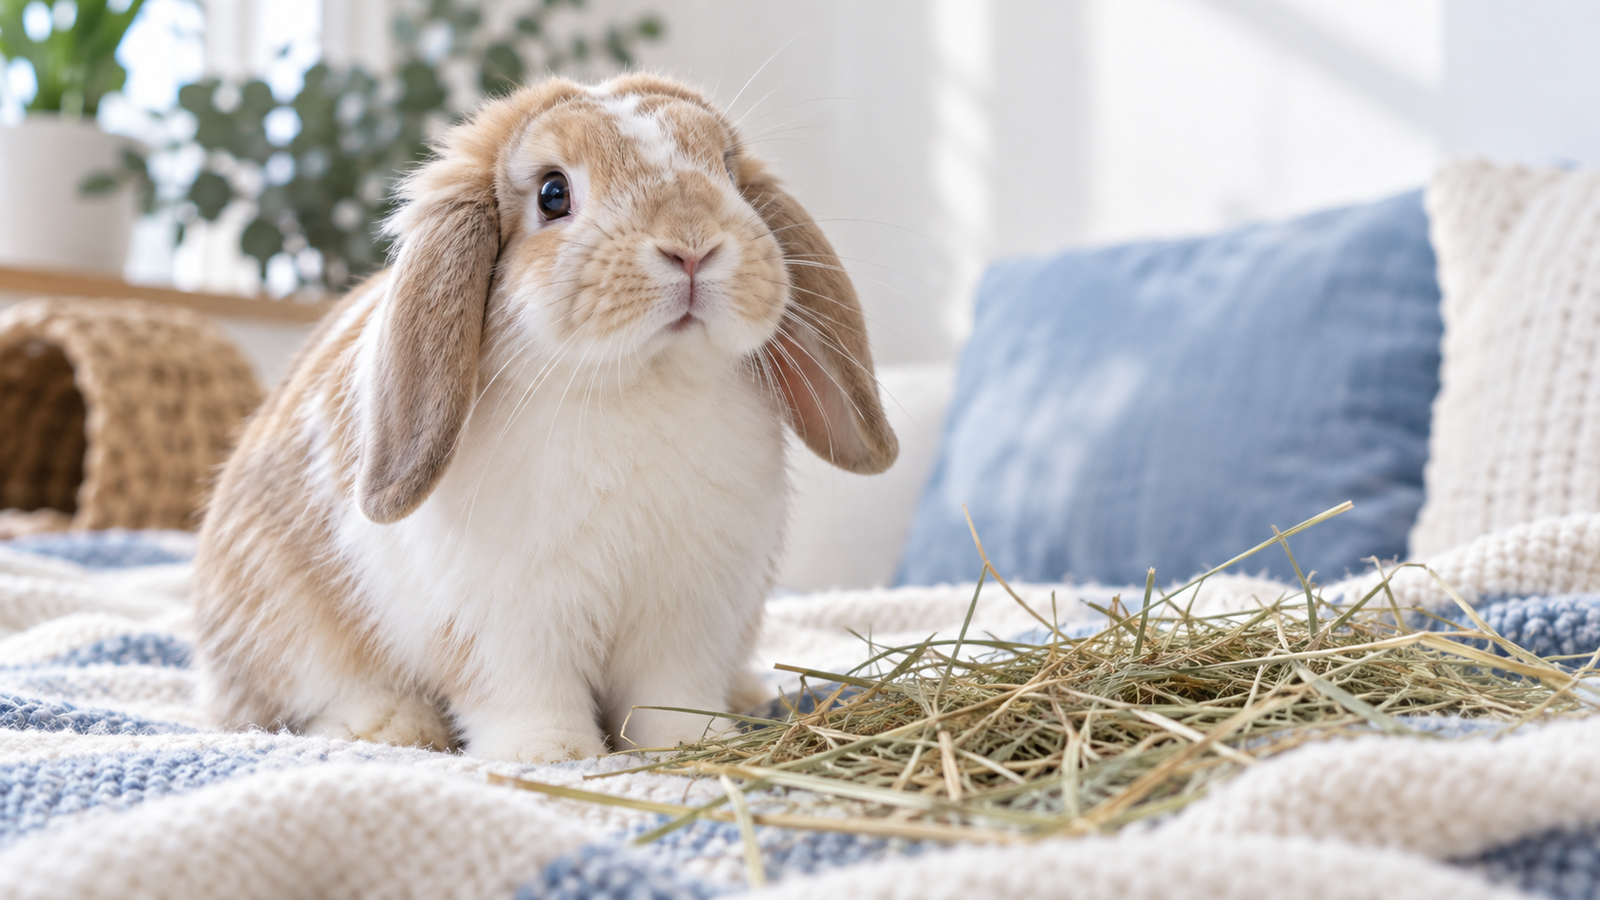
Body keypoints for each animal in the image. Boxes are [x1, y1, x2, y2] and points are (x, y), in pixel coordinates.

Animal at [191, 73, 898, 762]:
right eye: (553, 194)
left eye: (725, 169)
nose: (693, 246)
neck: (640, 384)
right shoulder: (504, 627)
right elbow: (524, 694)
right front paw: (551, 755)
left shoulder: (687, 622)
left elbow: (671, 695)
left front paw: (694, 743)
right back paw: (389, 727)